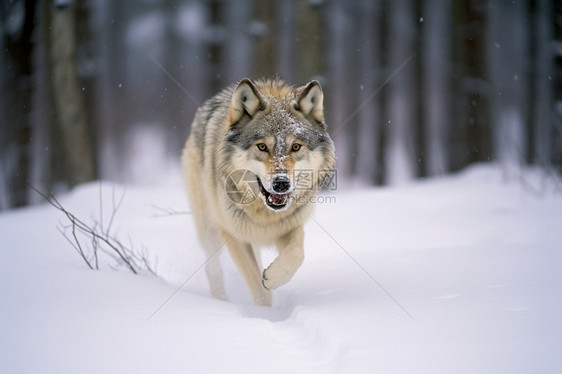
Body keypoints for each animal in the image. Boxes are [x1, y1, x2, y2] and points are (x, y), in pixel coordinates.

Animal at [182, 79, 334, 306]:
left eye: (296, 147)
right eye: (262, 146)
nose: (281, 183)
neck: (265, 214)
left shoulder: (290, 225)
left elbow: (297, 254)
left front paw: (274, 277)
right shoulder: (234, 236)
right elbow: (260, 291)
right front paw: (264, 313)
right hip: (209, 230)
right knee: (212, 268)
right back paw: (221, 301)